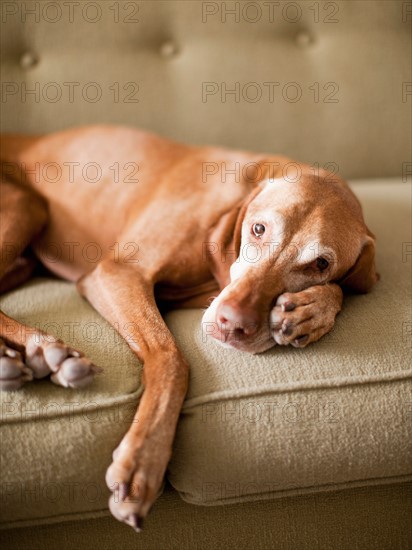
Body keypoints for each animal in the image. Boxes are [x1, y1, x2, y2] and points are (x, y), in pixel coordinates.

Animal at [0, 125, 376, 532]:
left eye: (321, 264)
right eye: (258, 228)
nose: (232, 324)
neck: (239, 192)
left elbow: (347, 287)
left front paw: (310, 310)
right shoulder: (120, 272)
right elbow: (172, 359)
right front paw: (141, 463)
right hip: (25, 204)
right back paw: (41, 348)